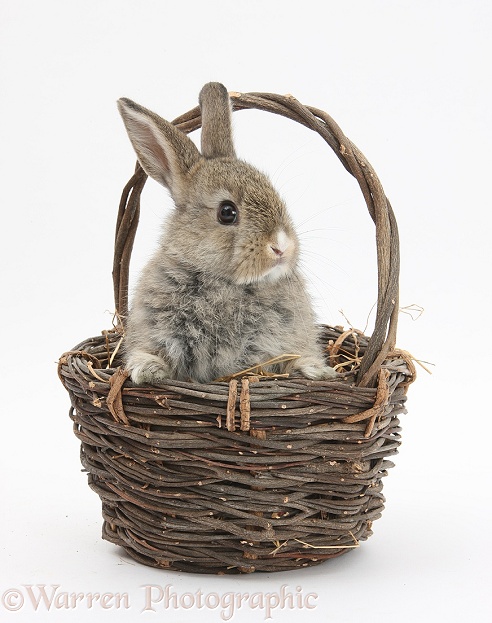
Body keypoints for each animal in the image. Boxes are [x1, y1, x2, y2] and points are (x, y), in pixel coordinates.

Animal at [118, 83, 338, 386]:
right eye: (227, 212)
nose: (282, 246)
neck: (227, 284)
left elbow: (293, 358)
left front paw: (317, 369)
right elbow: (149, 352)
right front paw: (147, 371)